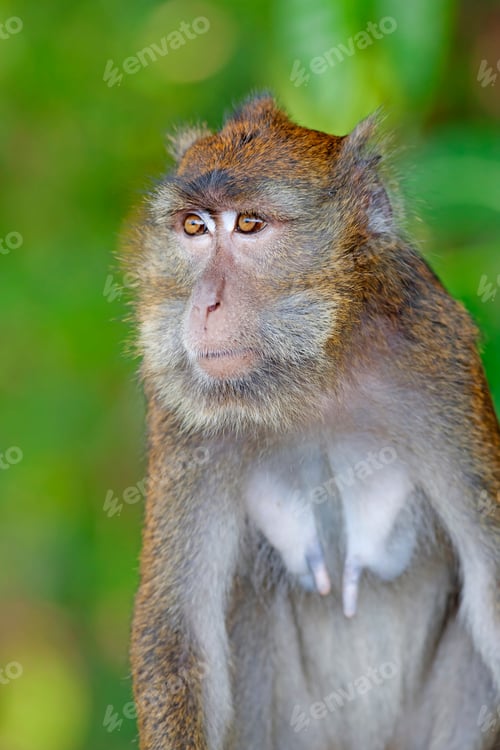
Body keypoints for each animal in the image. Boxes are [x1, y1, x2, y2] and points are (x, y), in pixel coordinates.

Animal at [124, 94, 500, 749]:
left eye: (250, 225)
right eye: (194, 227)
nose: (204, 304)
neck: (314, 373)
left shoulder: (438, 362)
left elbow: (493, 584)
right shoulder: (181, 412)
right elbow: (180, 632)